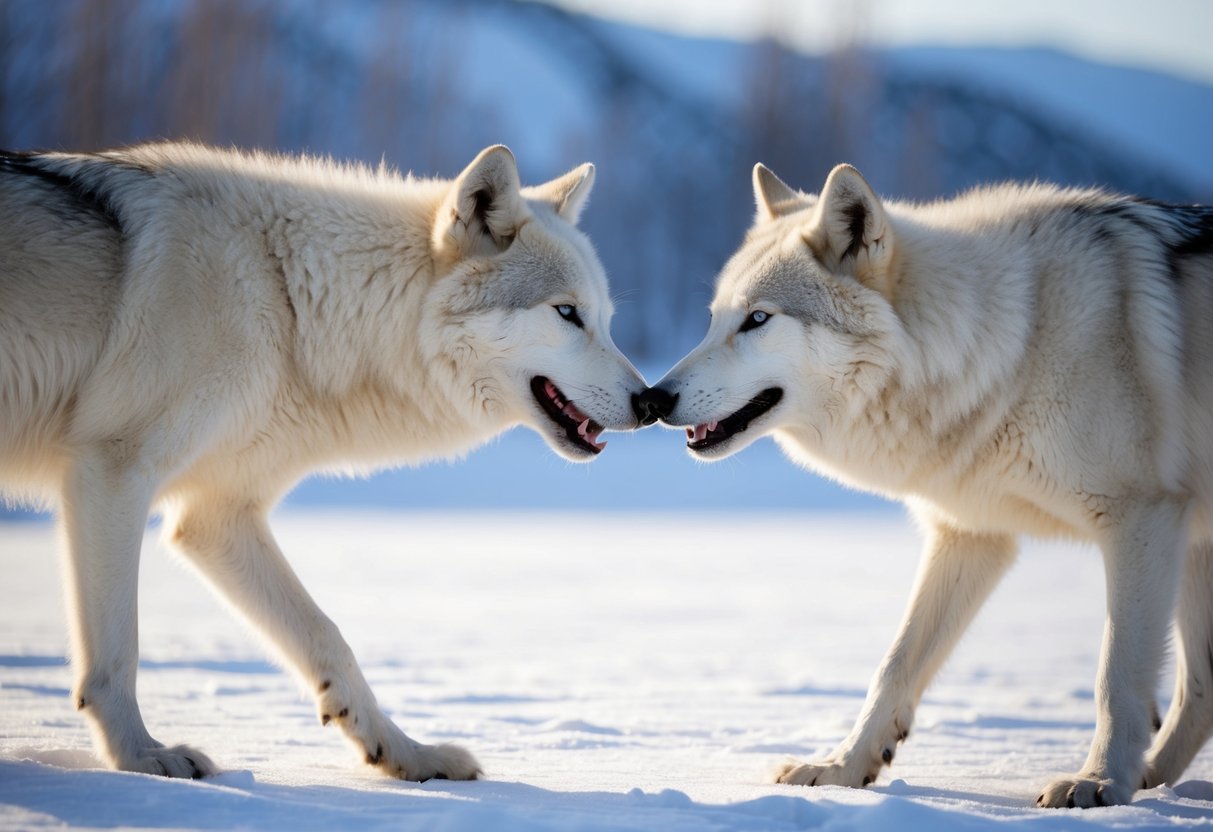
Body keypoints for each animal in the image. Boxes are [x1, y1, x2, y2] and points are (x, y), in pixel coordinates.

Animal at [0, 142, 646, 781]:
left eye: (606, 319)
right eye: (567, 313)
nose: (650, 402)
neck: (287, 299)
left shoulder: (214, 517)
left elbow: (326, 636)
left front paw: (406, 754)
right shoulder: (111, 471)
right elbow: (117, 651)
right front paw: (139, 757)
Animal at [636, 162, 1213, 807]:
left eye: (758, 319)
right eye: (713, 320)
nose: (655, 398)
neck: (1012, 345)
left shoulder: (1140, 519)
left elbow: (1115, 672)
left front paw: (1099, 782)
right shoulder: (969, 535)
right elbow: (895, 666)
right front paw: (842, 768)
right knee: (1202, 688)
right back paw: (1154, 782)